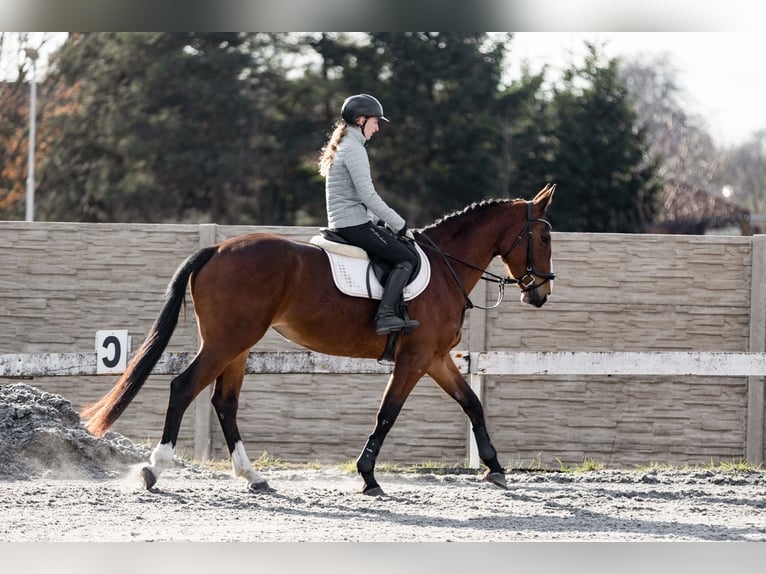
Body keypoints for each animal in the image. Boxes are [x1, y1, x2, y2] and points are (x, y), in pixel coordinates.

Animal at [82, 183, 556, 496]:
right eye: (545, 236)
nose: (540, 293)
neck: (445, 267)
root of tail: (216, 250)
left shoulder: (437, 358)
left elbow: (472, 403)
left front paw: (495, 467)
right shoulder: (416, 359)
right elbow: (387, 414)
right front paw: (368, 477)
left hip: (238, 346)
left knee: (224, 402)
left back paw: (253, 477)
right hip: (227, 342)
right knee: (184, 388)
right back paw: (155, 469)